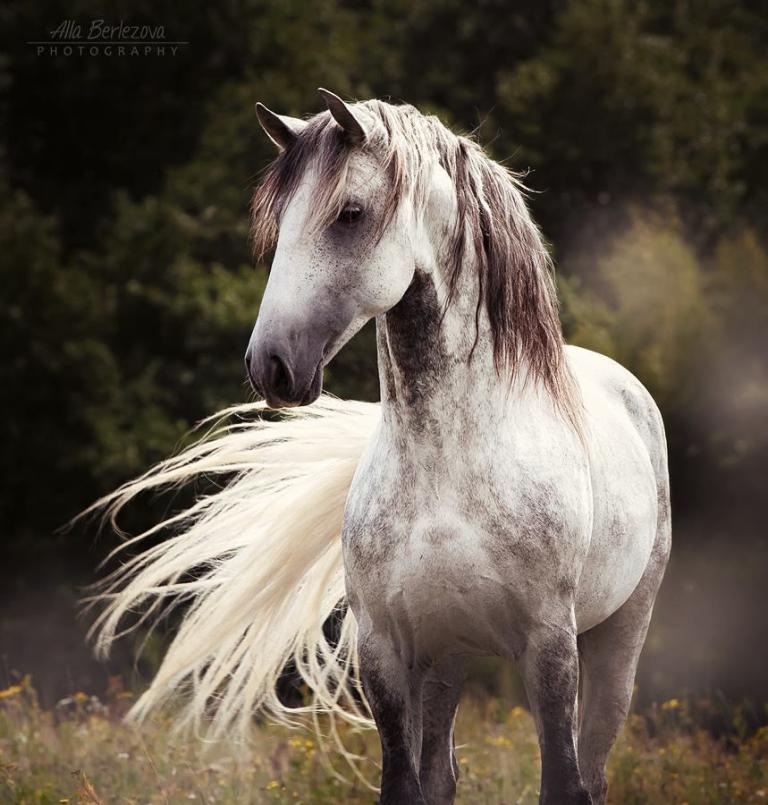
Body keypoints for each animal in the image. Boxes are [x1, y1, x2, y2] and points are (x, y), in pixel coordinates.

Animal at [91, 89, 671, 805]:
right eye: (279, 219)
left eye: (351, 213)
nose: (270, 366)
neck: (449, 467)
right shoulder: (387, 654)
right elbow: (406, 782)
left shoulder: (549, 647)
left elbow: (563, 782)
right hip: (449, 658)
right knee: (443, 772)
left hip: (615, 639)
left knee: (592, 762)